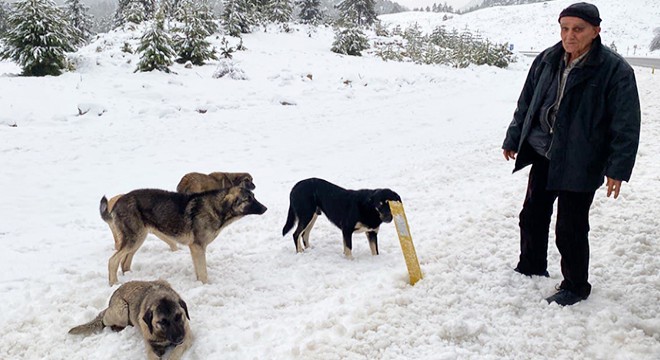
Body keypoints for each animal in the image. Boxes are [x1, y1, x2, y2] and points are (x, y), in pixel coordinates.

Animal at [102, 187, 266, 286]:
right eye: (248, 199)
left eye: (254, 196)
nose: (265, 208)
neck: (216, 208)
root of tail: (116, 203)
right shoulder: (198, 247)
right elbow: (203, 272)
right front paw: (206, 286)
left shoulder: (195, 249)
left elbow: (199, 271)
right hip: (134, 238)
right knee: (112, 260)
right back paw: (114, 283)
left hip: (138, 239)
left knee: (125, 262)